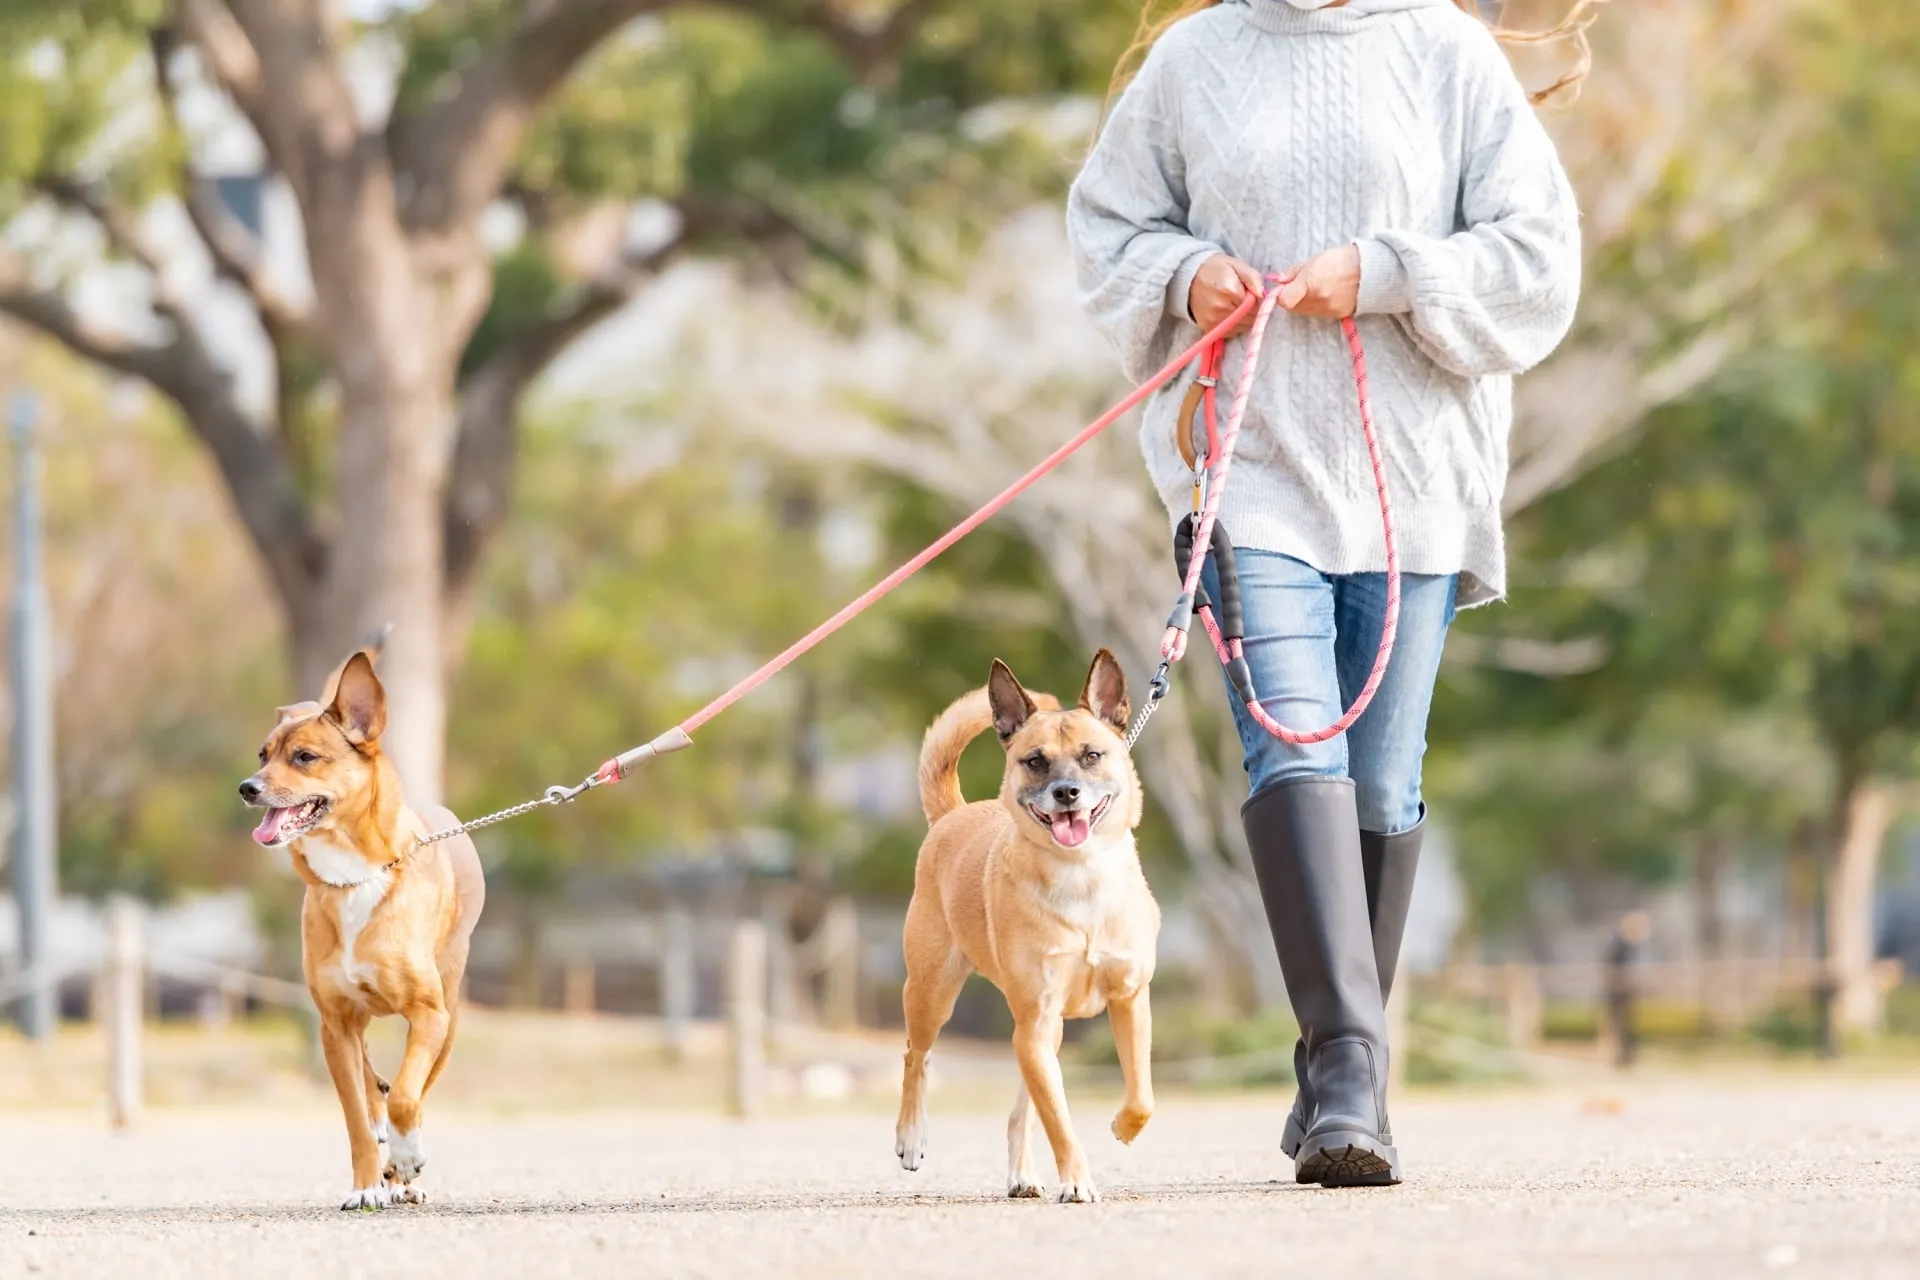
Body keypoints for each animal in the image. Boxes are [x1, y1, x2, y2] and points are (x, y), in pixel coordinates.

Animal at [237, 644, 483, 1205]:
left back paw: (405, 1170)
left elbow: (409, 1097)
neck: (352, 877)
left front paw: (406, 1159)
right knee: (371, 1077)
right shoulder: (335, 1024)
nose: (246, 788)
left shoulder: (429, 1015)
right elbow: (355, 1116)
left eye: (304, 757)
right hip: (348, 1022)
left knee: (415, 1087)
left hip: (450, 1012)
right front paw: (368, 1186)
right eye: (263, 755)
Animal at [894, 656, 1159, 1205]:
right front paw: (1077, 1181)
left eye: (1092, 755)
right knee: (916, 1055)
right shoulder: (1033, 1024)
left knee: (1021, 1114)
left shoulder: (1129, 1000)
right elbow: (1059, 1120)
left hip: (1045, 1032)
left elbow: (1140, 1094)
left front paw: (1124, 1127)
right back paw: (911, 1137)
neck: (1079, 877)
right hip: (934, 994)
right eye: (1034, 761)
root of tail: (953, 814)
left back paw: (1022, 1175)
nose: (1066, 793)